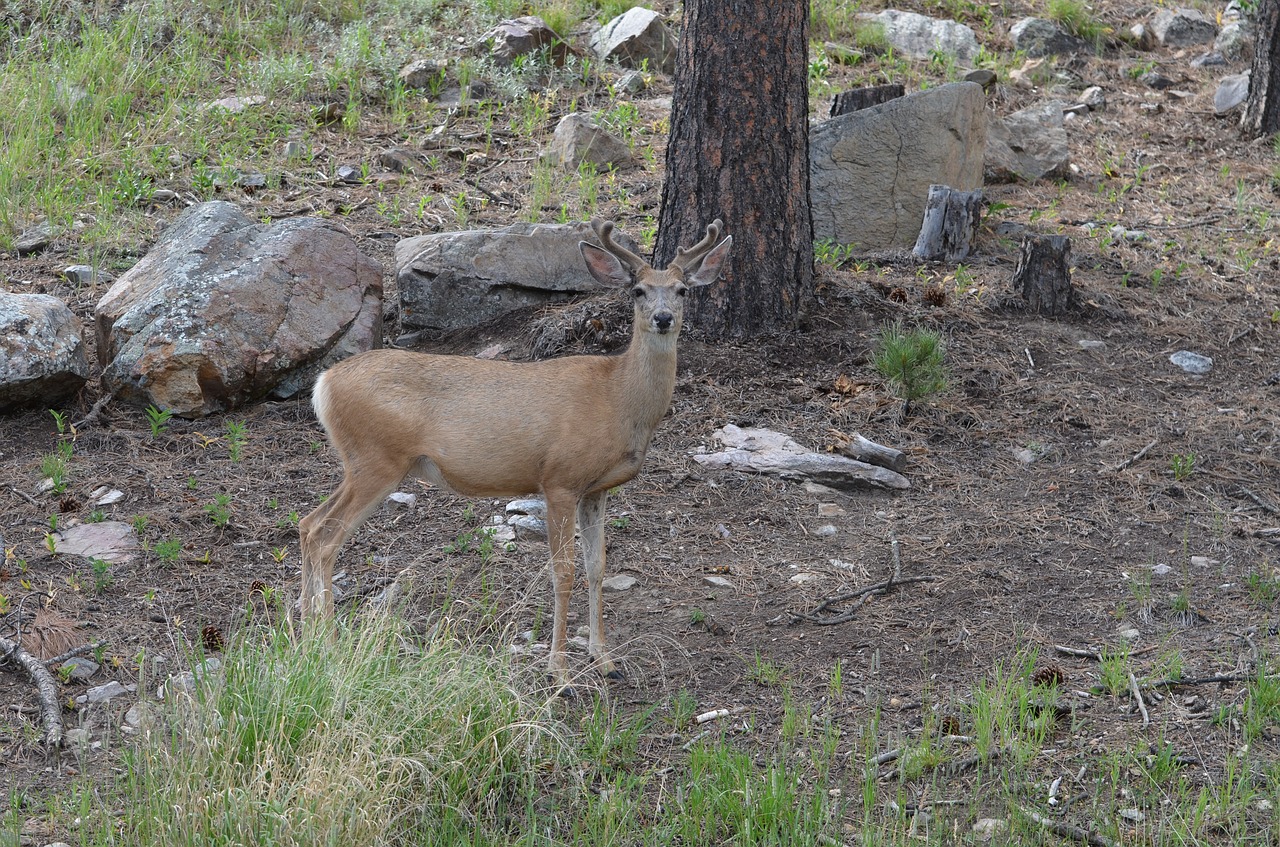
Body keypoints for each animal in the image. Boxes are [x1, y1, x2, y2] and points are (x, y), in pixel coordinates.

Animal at [296, 217, 732, 690]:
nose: (663, 318)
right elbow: (564, 572)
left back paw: (304, 633)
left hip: (360, 463)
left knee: (307, 524)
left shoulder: (597, 489)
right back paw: (328, 643)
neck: (618, 399)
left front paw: (605, 659)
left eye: (682, 290)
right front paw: (560, 672)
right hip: (377, 459)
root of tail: (323, 384)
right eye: (638, 290)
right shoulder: (559, 478)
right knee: (326, 538)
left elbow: (597, 566)